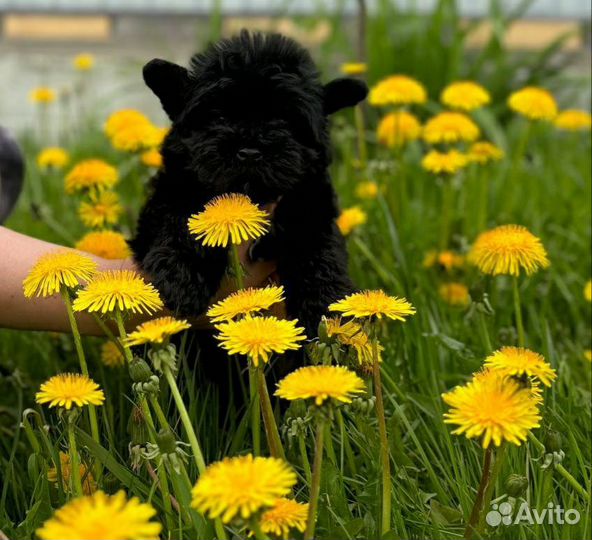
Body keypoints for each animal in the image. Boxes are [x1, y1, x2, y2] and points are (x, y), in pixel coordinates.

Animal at [132, 30, 368, 338]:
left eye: (284, 119)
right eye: (218, 116)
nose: (249, 151)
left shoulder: (313, 200)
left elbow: (316, 241)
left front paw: (323, 303)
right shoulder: (171, 192)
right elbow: (183, 217)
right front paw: (181, 277)